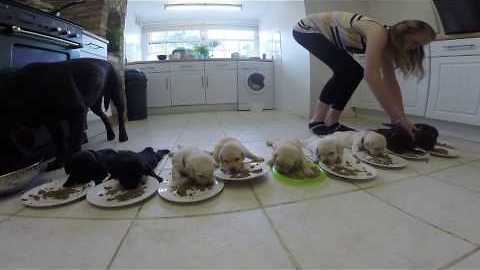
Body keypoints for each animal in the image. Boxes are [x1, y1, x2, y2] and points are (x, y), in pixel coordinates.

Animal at [0, 58, 128, 171]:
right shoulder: (52, 123)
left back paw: (122, 136)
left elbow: (74, 140)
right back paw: (110, 134)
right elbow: (59, 143)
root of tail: (107, 62)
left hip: (117, 94)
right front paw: (58, 162)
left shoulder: (77, 113)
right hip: (95, 105)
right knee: (104, 116)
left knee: (121, 115)